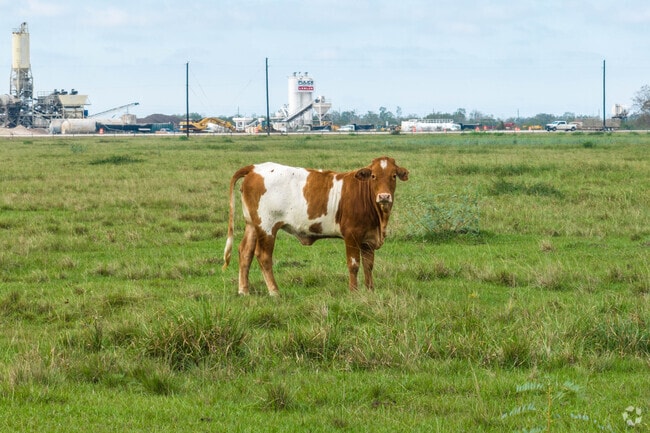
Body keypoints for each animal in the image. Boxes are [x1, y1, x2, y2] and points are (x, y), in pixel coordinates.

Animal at [222, 157, 409, 296]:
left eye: (393, 176)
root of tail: (255, 168)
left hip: (252, 225)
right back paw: (274, 291)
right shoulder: (351, 235)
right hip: (267, 226)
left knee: (245, 252)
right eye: (373, 176)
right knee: (263, 256)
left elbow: (368, 266)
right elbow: (354, 264)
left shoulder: (368, 239)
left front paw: (370, 291)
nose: (384, 196)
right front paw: (354, 292)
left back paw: (244, 291)